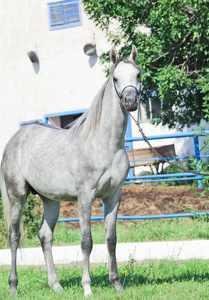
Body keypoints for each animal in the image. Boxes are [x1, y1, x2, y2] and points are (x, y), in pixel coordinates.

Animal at [0, 45, 141, 298]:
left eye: (138, 74)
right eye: (115, 78)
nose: (130, 100)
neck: (104, 144)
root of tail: (15, 138)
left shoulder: (113, 197)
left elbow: (111, 239)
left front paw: (117, 284)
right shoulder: (85, 197)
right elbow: (86, 242)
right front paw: (87, 288)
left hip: (50, 200)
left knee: (45, 236)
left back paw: (56, 285)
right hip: (17, 197)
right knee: (14, 237)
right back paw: (13, 287)